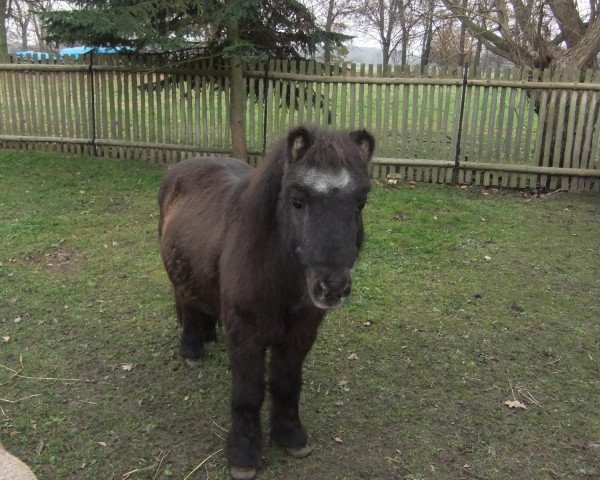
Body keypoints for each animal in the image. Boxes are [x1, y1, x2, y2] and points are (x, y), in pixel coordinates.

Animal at [159, 125, 376, 478]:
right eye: (298, 201)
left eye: (360, 204)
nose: (332, 287)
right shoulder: (246, 337)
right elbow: (248, 394)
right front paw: (244, 452)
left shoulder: (298, 337)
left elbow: (287, 385)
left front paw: (291, 436)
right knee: (187, 303)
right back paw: (192, 349)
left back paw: (208, 335)